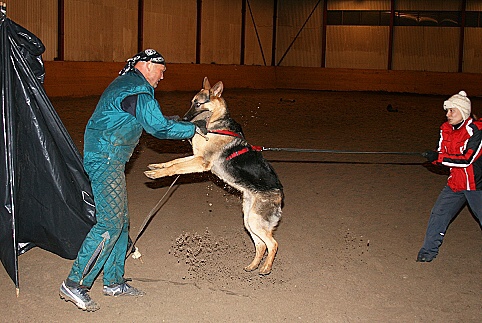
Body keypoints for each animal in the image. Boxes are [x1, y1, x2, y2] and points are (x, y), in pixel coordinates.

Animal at [145, 78, 284, 276]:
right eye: (192, 102)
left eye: (198, 103)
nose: (184, 120)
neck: (216, 124)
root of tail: (279, 193)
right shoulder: (195, 157)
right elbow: (175, 162)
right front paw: (157, 167)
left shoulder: (200, 162)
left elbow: (177, 166)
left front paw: (157, 174)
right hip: (249, 221)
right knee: (261, 245)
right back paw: (253, 266)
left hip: (255, 222)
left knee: (273, 244)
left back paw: (266, 268)